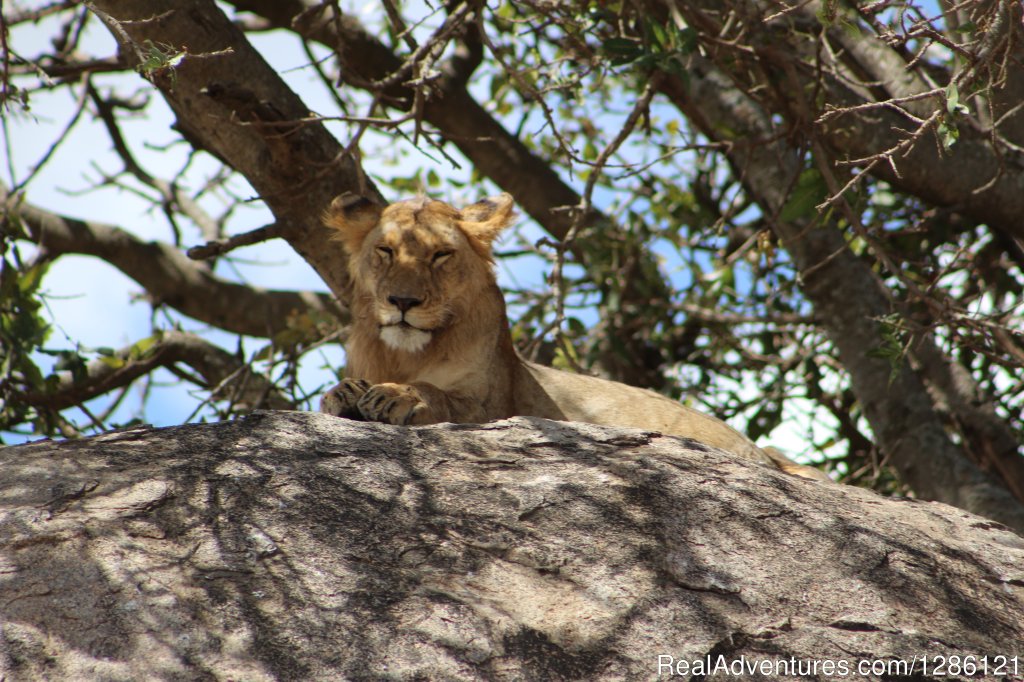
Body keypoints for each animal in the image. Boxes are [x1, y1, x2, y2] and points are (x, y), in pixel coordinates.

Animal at [323, 189, 827, 477]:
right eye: (386, 251)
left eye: (441, 255)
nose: (403, 302)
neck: (406, 355)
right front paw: (344, 393)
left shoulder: (494, 404)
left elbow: (440, 395)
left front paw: (397, 396)